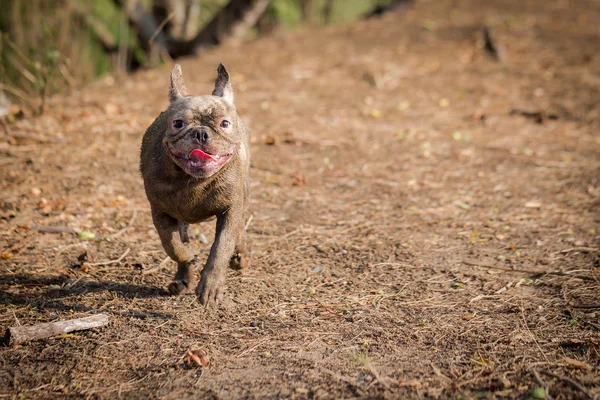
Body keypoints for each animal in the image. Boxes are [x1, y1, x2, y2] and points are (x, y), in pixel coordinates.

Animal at [140, 64, 248, 304]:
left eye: (224, 124)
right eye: (178, 123)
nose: (200, 133)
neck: (193, 181)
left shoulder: (231, 210)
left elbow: (221, 246)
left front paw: (211, 286)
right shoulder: (160, 213)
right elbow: (172, 245)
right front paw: (188, 256)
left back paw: (238, 255)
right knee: (182, 240)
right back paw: (183, 277)